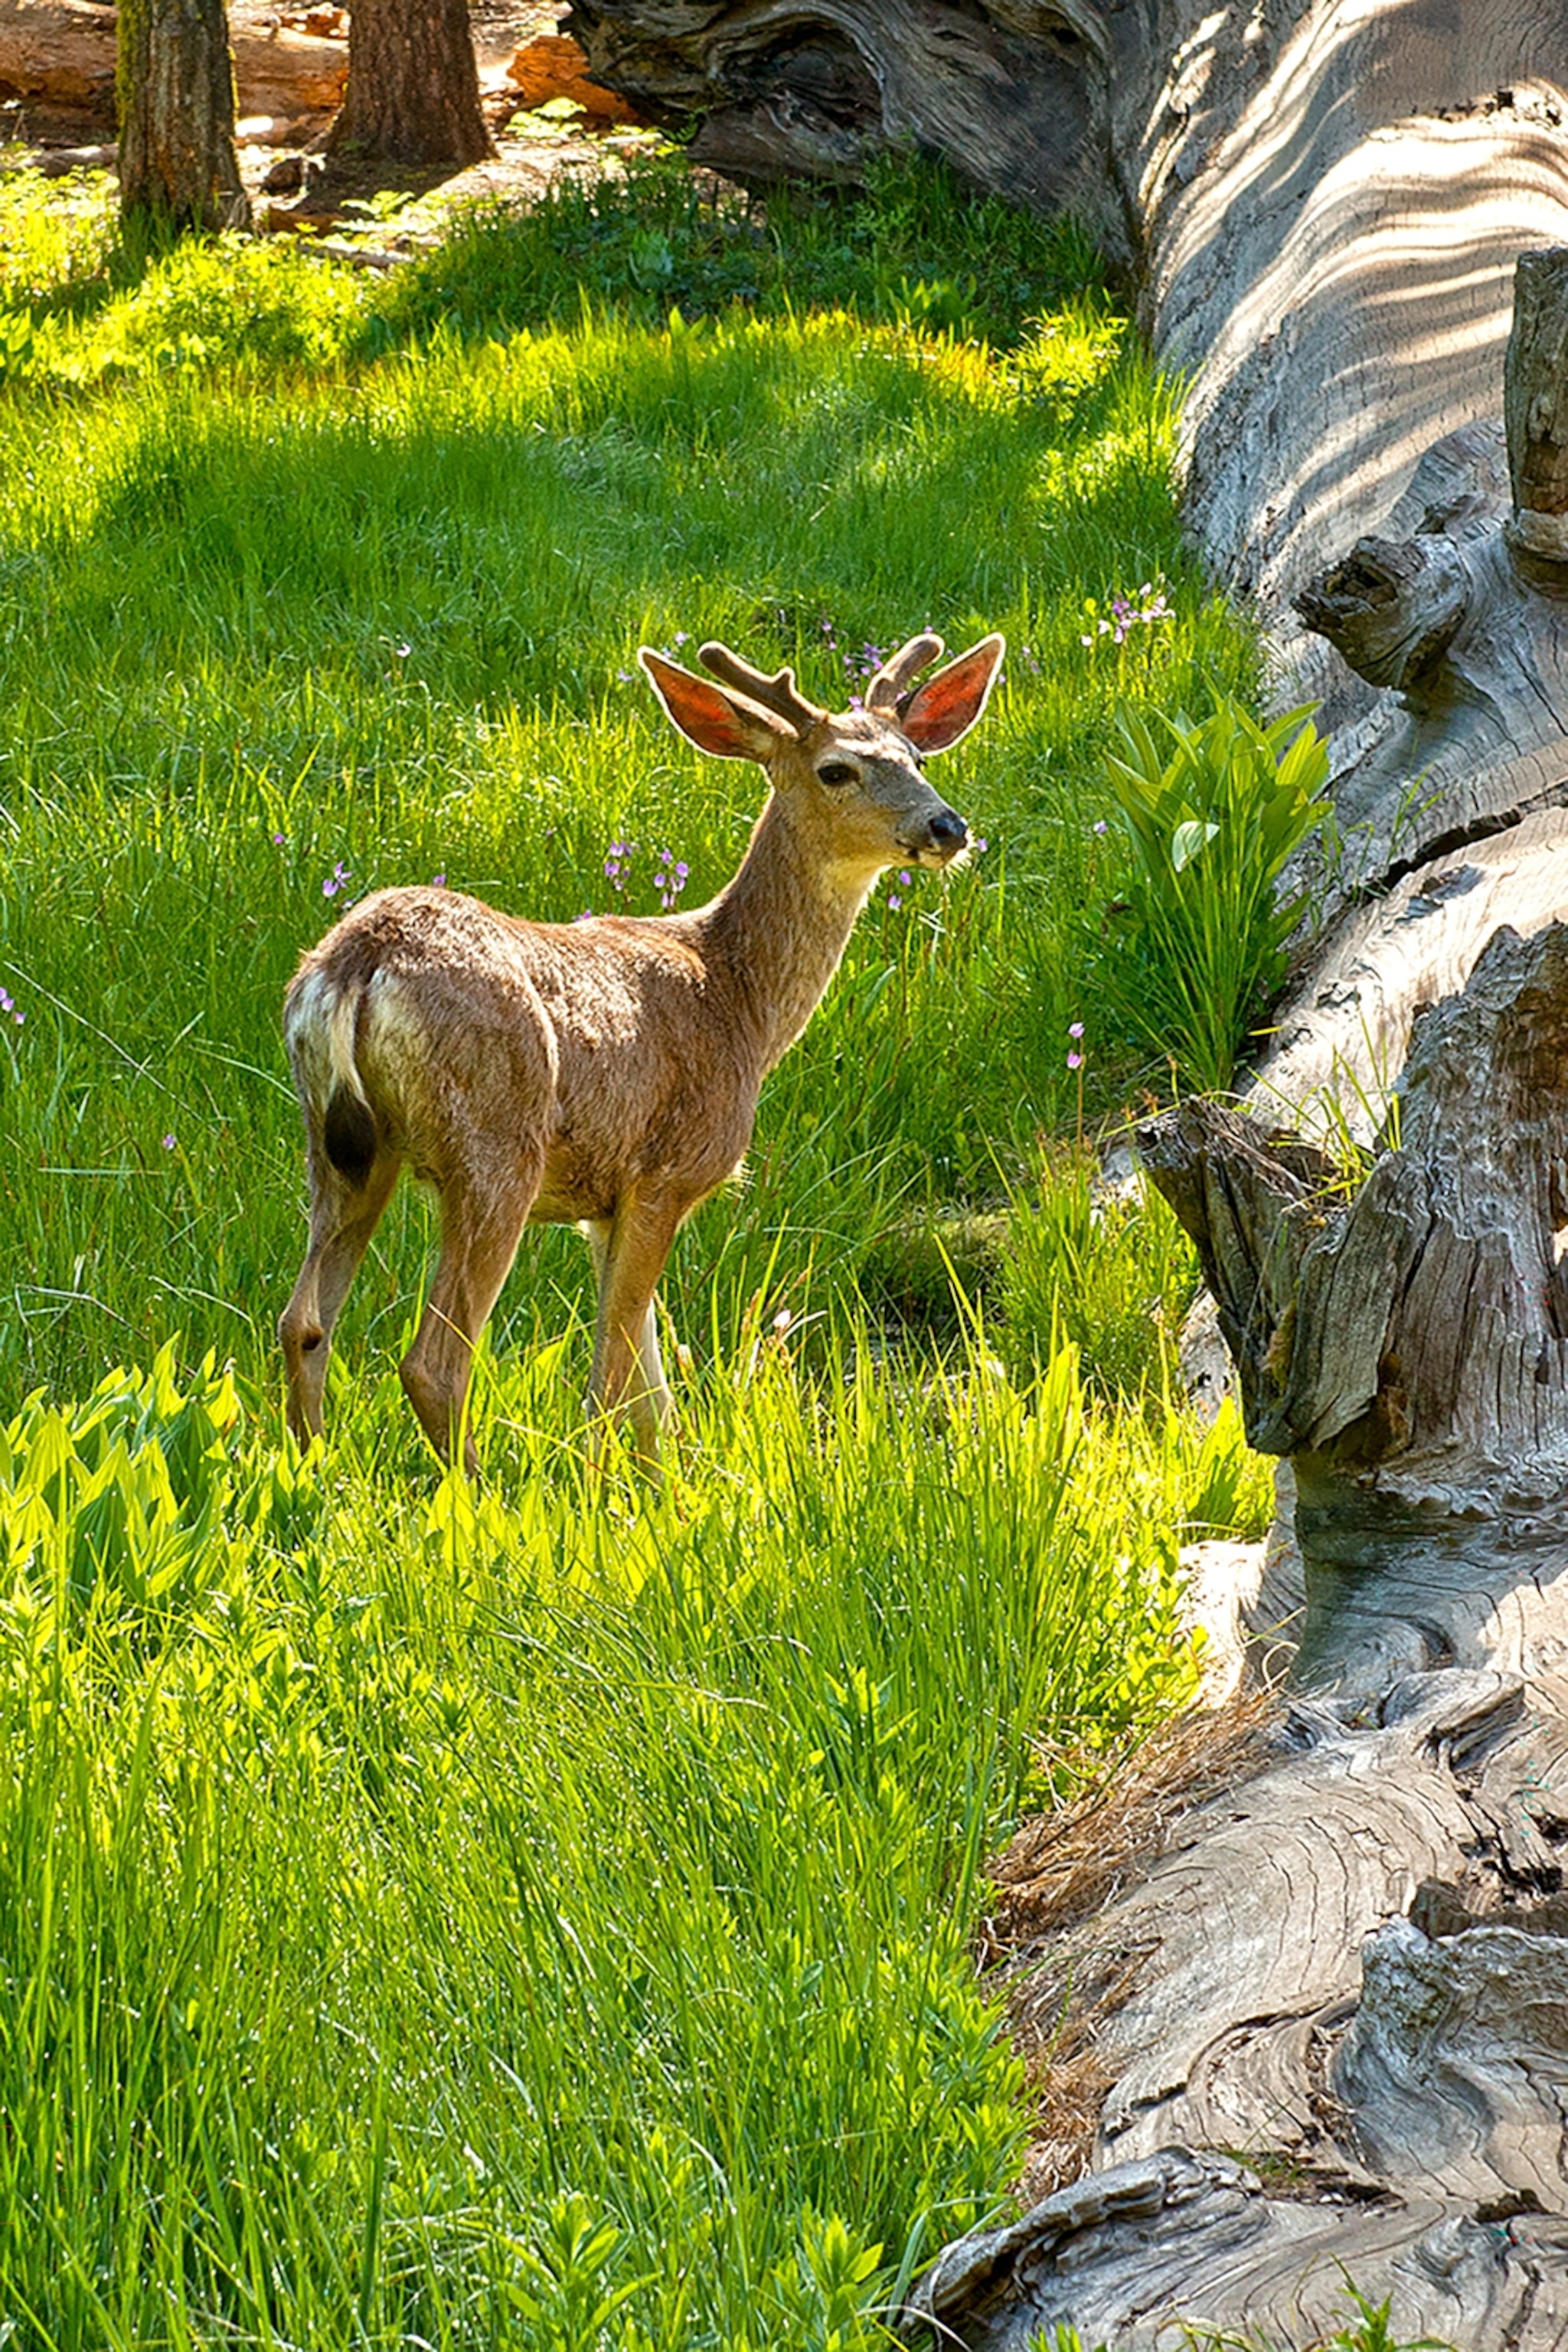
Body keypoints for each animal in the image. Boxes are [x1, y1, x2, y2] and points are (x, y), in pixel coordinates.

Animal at [277, 628, 1005, 1475]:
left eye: (915, 758)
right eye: (836, 769)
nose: (947, 827)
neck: (737, 1001)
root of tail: (358, 960)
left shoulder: (603, 1205)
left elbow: (653, 1392)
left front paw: (667, 1489)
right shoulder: (667, 1170)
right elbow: (613, 1380)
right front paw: (605, 1493)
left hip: (343, 1146)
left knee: (303, 1322)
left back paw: (313, 1470)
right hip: (494, 1142)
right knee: (435, 1359)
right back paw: (475, 1488)